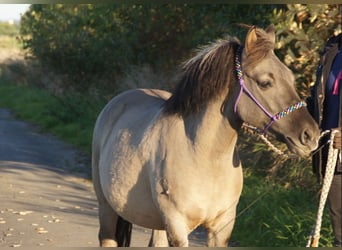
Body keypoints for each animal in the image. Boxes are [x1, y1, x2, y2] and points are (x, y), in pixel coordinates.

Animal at [91, 25, 320, 246]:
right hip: (108, 209)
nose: (311, 135)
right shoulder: (177, 226)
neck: (203, 155)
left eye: (290, 78)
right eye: (265, 83)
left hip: (157, 224)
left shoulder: (222, 228)